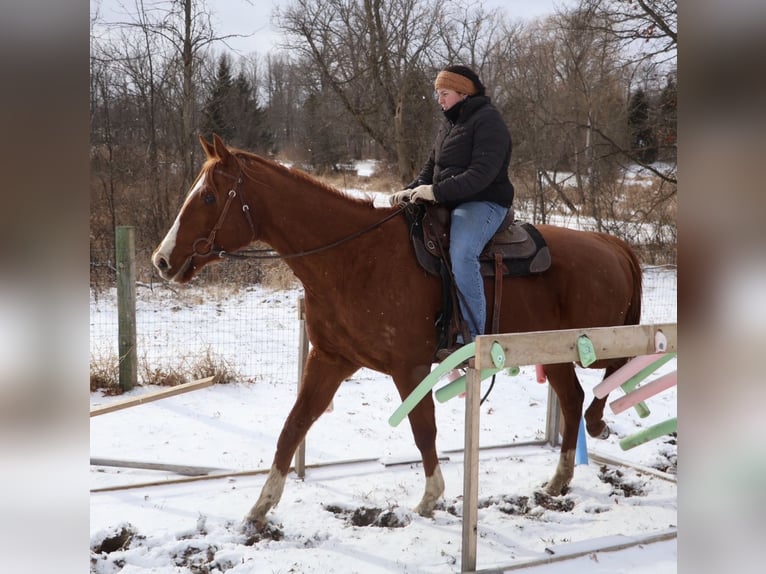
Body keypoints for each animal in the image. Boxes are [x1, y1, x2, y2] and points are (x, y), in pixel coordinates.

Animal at [152, 134, 642, 530]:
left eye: (209, 197)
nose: (161, 259)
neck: (353, 258)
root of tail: (613, 245)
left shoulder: (409, 368)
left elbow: (422, 429)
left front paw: (430, 498)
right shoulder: (330, 359)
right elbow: (293, 427)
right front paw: (261, 505)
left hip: (594, 342)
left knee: (619, 370)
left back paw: (597, 425)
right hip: (553, 351)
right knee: (573, 398)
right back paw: (560, 478)